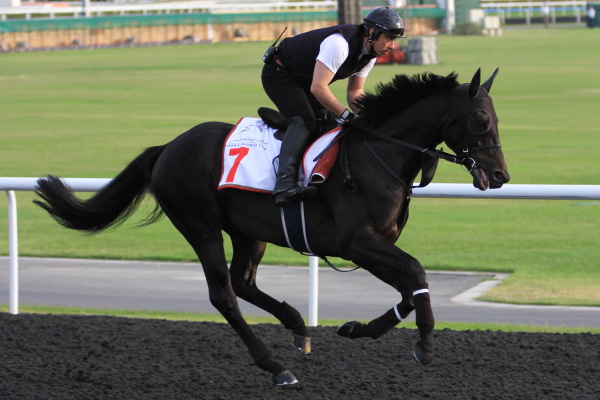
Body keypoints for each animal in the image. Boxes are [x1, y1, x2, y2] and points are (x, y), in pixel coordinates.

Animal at [34, 69, 510, 384]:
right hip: (200, 226)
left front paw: (356, 328)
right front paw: (425, 346)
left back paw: (297, 325)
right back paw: (275, 366)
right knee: (223, 293)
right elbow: (415, 272)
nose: (501, 175)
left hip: (249, 231)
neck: (379, 157)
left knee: (243, 281)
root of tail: (167, 147)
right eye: (481, 120)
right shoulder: (356, 242)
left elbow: (410, 290)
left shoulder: (374, 244)